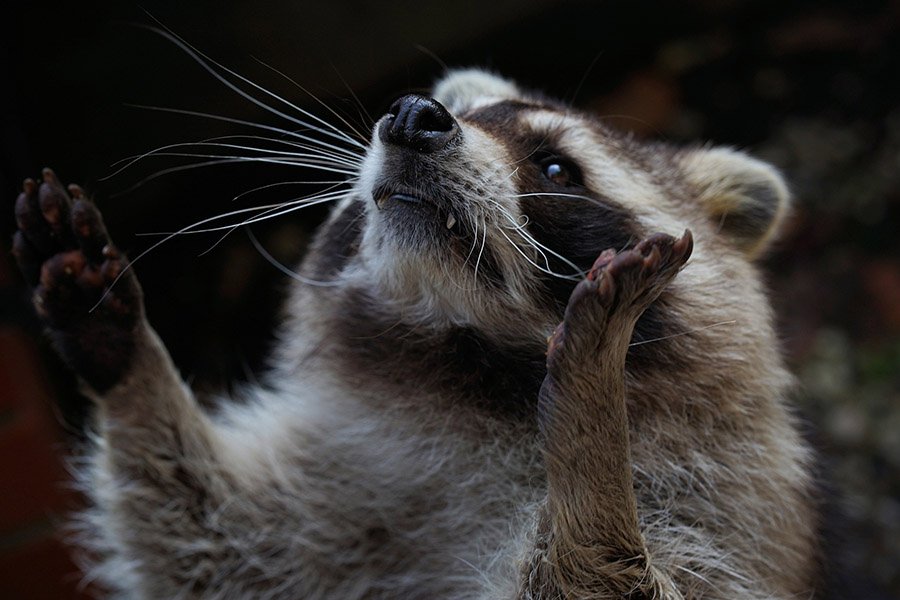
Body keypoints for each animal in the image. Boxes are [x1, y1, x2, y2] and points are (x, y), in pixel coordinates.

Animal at [10, 68, 820, 596]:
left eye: (557, 167)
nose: (411, 115)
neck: (471, 372)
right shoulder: (343, 501)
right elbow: (215, 547)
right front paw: (124, 356)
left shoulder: (722, 515)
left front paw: (591, 443)